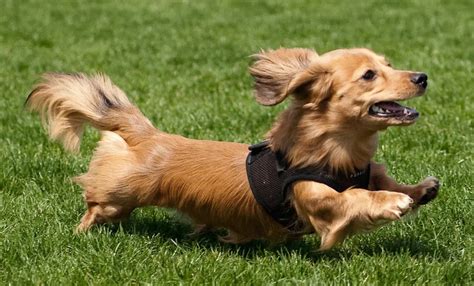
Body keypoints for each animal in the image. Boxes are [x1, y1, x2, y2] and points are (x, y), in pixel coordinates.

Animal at [25, 47, 438, 250]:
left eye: (389, 64)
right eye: (369, 75)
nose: (423, 77)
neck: (338, 152)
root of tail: (149, 136)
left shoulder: (368, 170)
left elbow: (381, 177)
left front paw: (419, 190)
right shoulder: (319, 203)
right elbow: (354, 198)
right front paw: (393, 202)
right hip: (118, 193)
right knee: (96, 205)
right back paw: (81, 232)